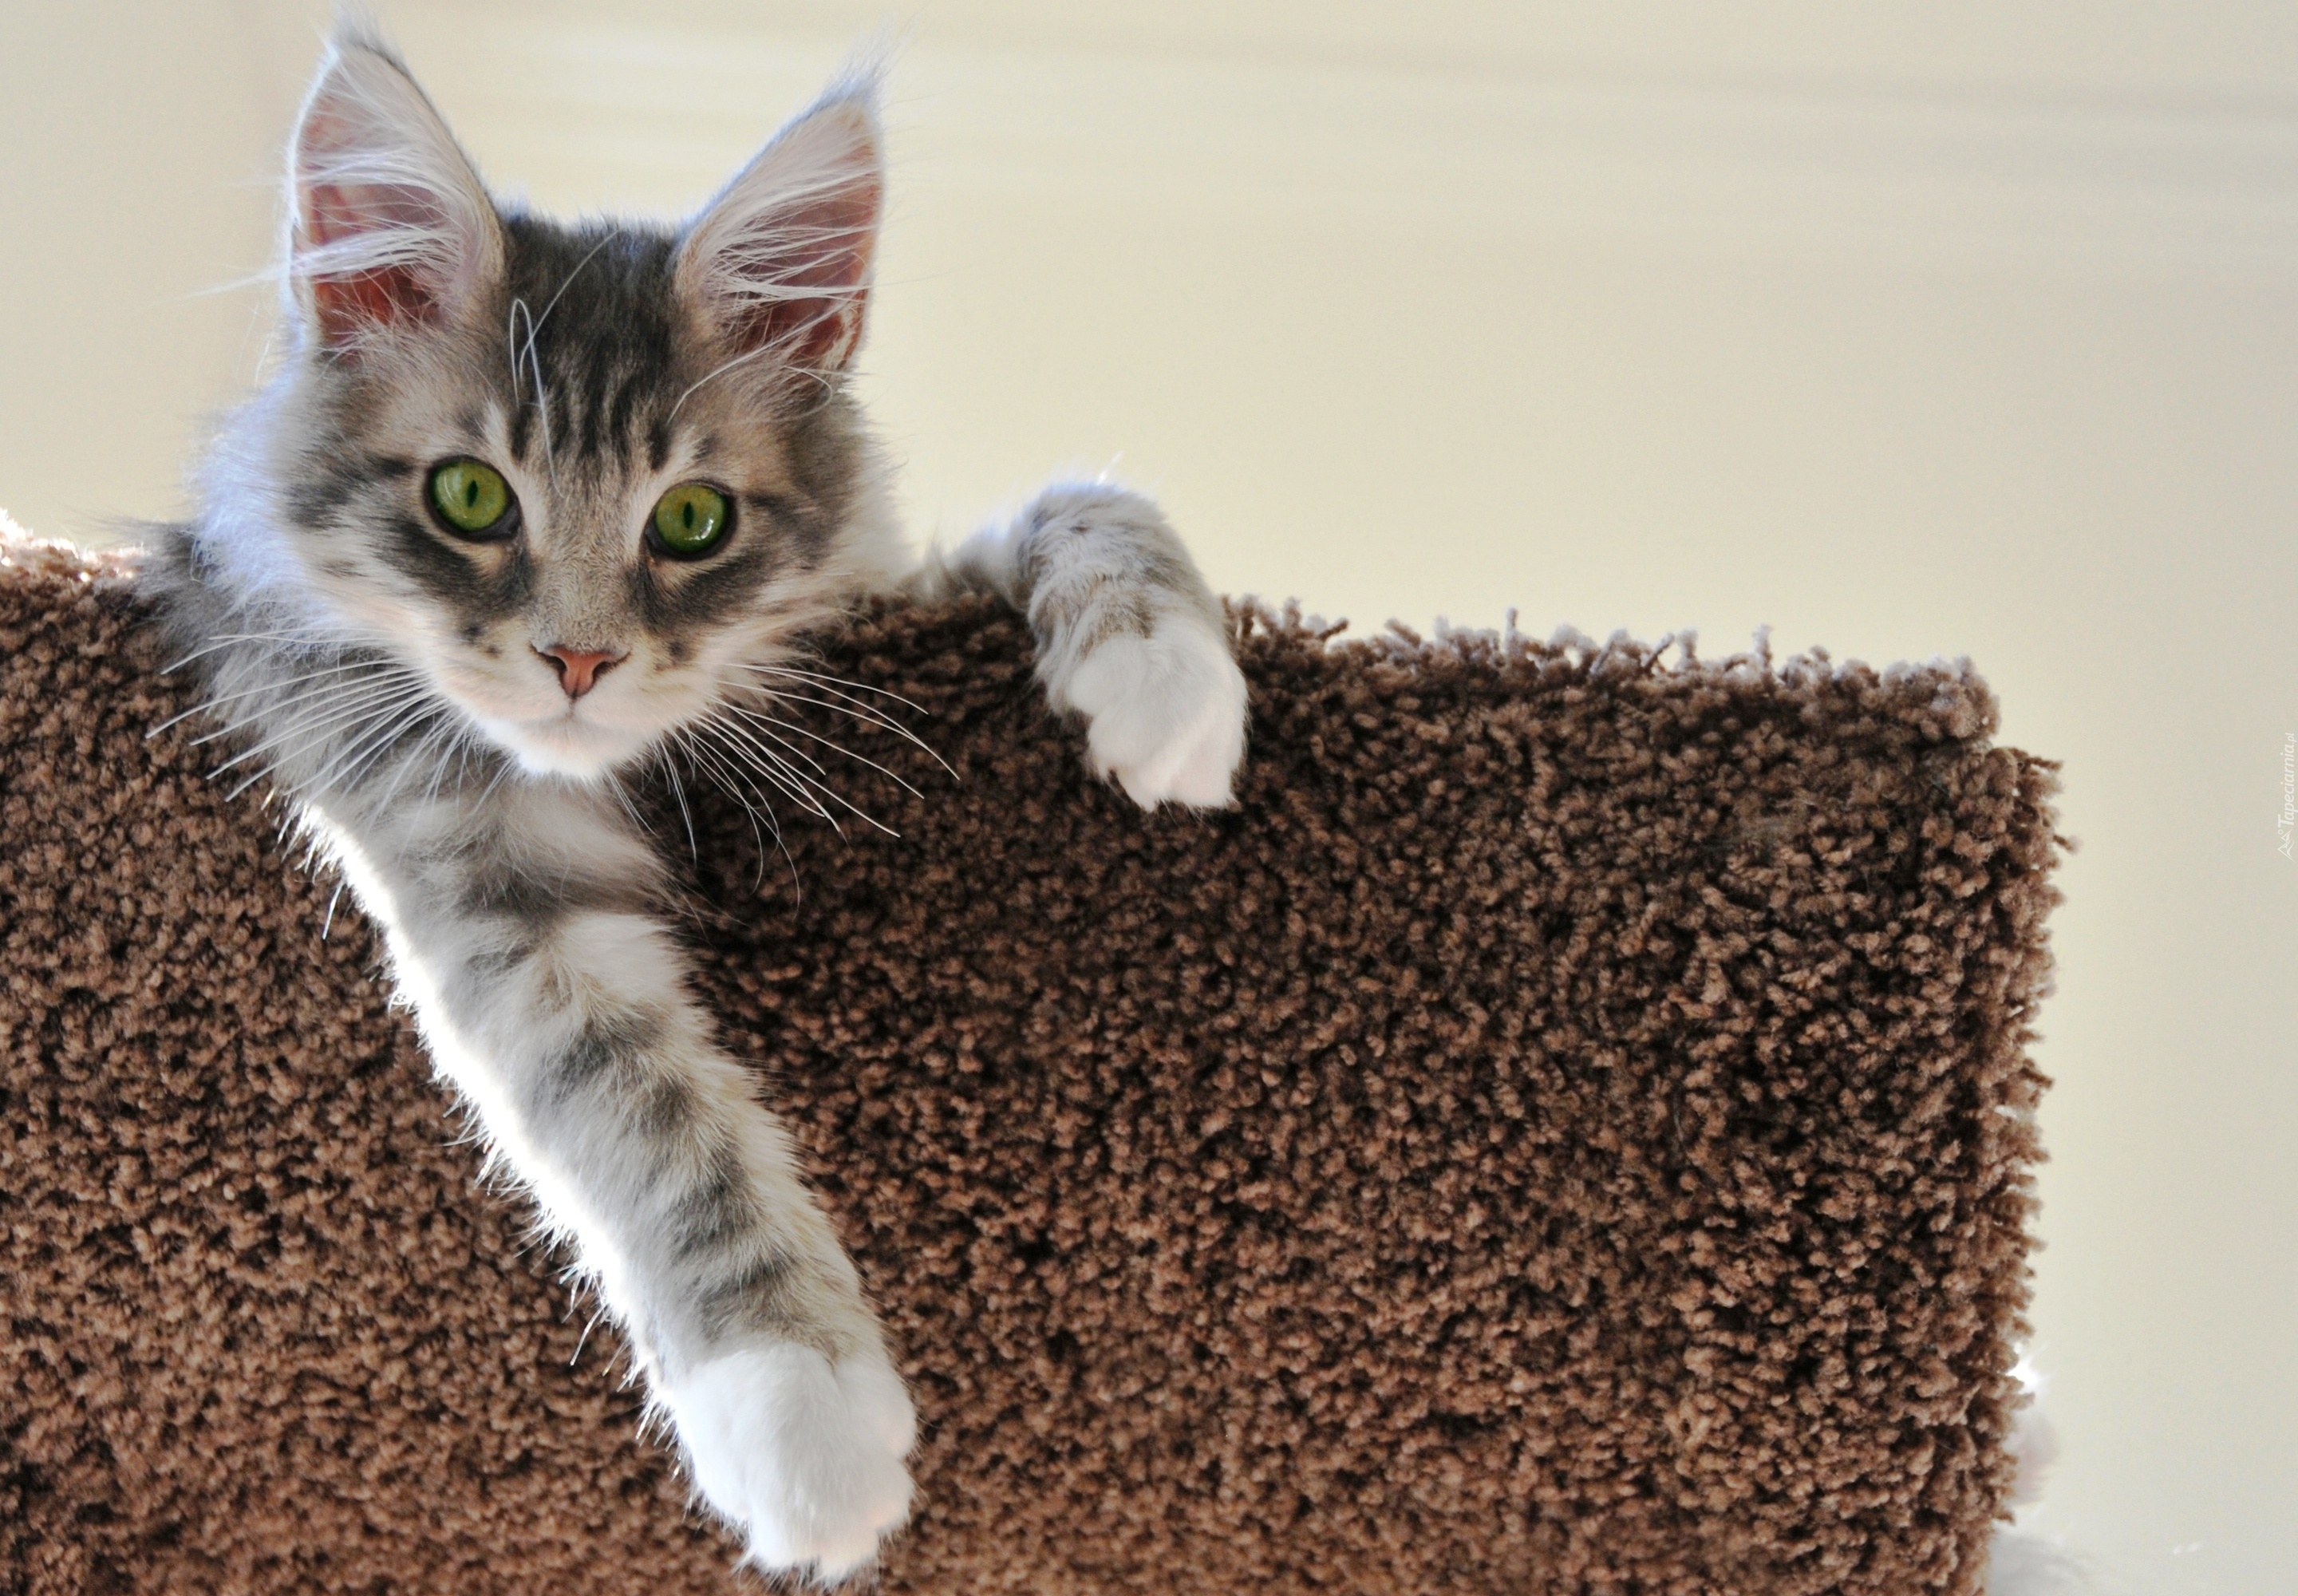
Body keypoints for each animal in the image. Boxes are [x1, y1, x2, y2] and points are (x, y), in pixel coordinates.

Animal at [144, 25, 1241, 1591]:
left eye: (692, 523)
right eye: (470, 497)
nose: (578, 661)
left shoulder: (878, 591)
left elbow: (1082, 499)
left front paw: (1165, 681)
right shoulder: (468, 868)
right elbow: (650, 1114)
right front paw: (799, 1418)